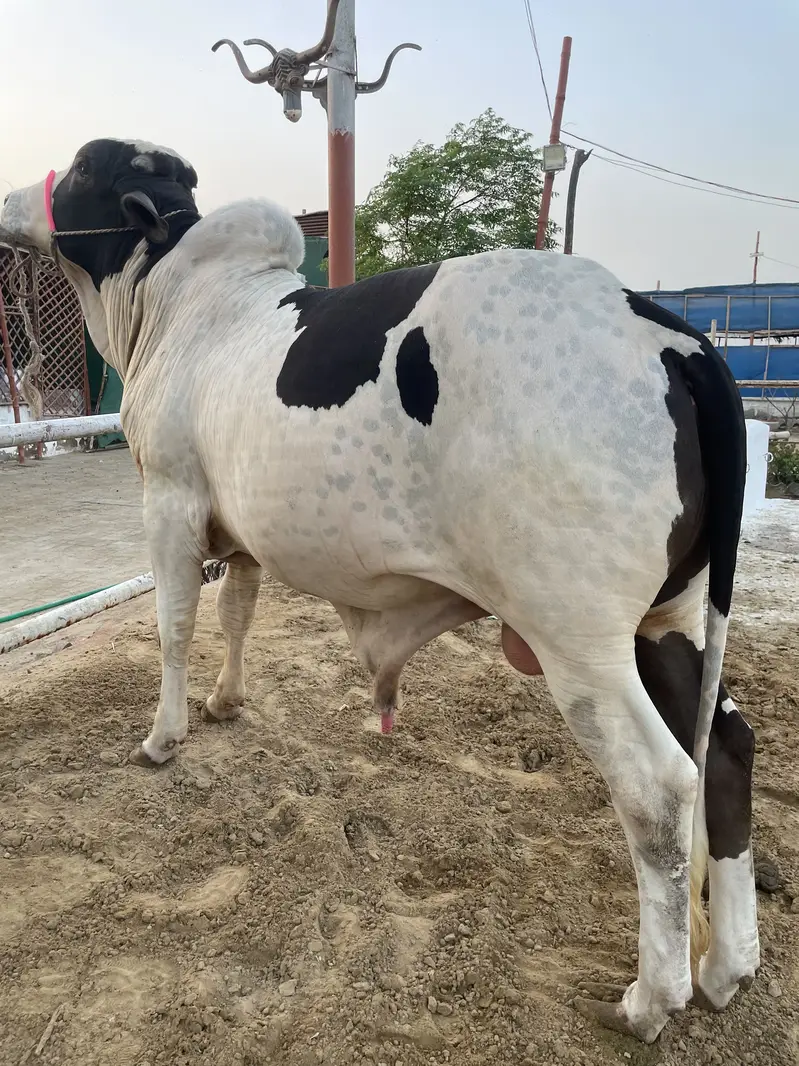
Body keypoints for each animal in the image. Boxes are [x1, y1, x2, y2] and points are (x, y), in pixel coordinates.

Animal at [0, 138, 759, 1043]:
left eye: (84, 169)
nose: (10, 202)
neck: (173, 302)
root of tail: (669, 334)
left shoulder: (171, 503)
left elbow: (176, 625)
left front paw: (163, 735)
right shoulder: (242, 527)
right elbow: (236, 612)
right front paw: (225, 702)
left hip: (581, 640)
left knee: (658, 788)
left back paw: (649, 999)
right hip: (670, 619)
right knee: (727, 749)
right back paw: (726, 966)